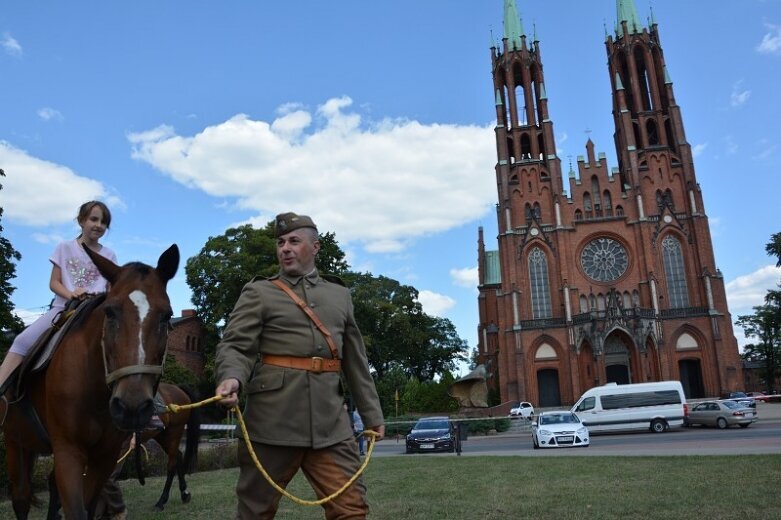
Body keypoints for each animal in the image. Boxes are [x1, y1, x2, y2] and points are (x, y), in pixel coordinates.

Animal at [0, 245, 178, 520]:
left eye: (166, 315)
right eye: (110, 312)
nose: (132, 407)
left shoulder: (105, 456)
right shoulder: (69, 451)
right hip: (14, 441)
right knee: (20, 498)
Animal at [139, 382, 203, 512]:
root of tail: (178, 388)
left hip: (173, 433)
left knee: (172, 464)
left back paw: (161, 501)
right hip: (162, 436)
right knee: (178, 455)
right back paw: (184, 493)